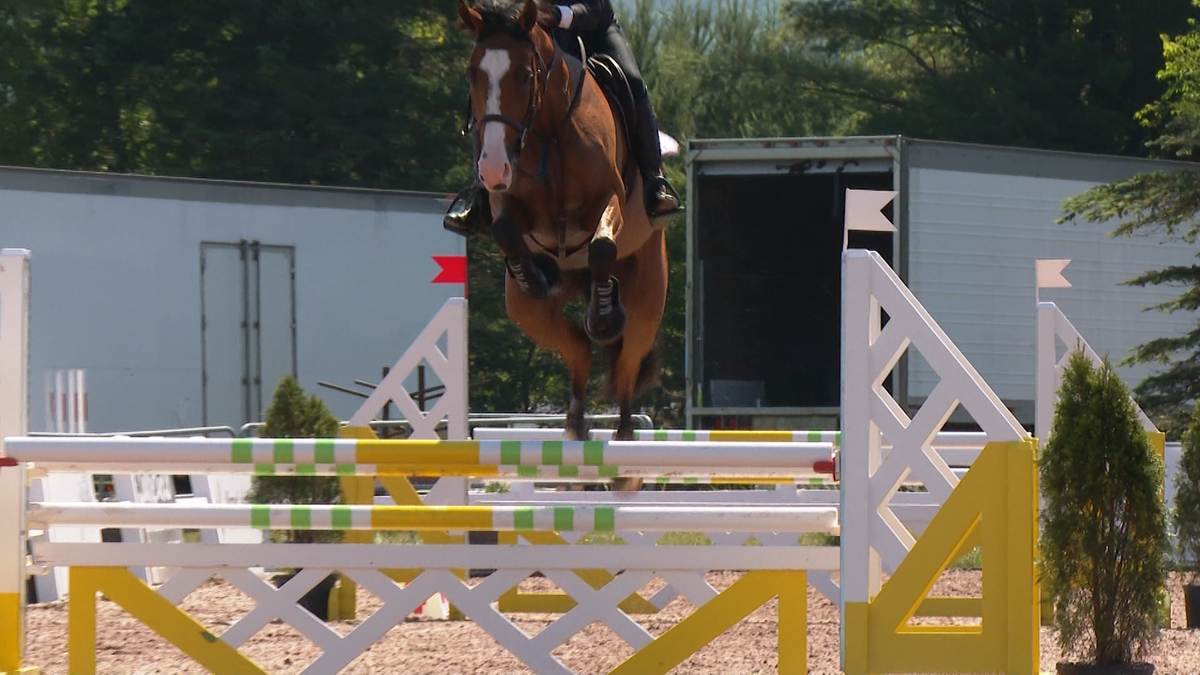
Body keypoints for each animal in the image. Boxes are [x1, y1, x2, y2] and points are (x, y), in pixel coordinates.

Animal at [456, 0, 672, 454]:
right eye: (472, 74)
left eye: (524, 73)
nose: (492, 167)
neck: (550, 130)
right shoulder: (508, 201)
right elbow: (505, 229)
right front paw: (533, 275)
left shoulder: (609, 200)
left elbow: (602, 245)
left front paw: (604, 314)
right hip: (527, 314)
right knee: (578, 349)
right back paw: (575, 422)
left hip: (647, 301)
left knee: (625, 367)